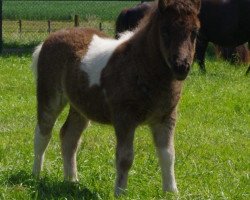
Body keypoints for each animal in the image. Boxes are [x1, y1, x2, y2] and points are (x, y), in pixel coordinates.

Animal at [31, 0, 201, 196]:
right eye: (165, 30)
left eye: (195, 32)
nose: (182, 67)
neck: (140, 66)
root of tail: (48, 40)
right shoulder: (124, 119)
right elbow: (125, 158)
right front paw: (120, 193)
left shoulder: (166, 118)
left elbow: (168, 155)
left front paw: (171, 192)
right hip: (50, 96)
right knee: (43, 133)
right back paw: (36, 176)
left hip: (80, 107)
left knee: (69, 137)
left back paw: (72, 181)